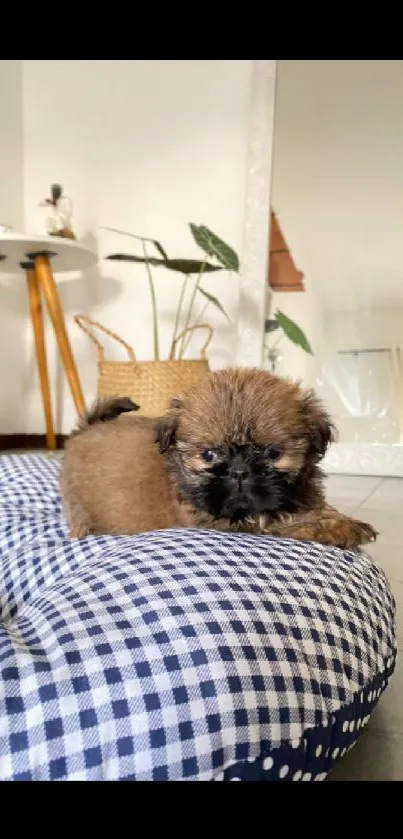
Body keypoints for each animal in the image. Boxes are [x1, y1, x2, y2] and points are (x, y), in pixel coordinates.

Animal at [60, 370, 378, 548]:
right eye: (208, 455)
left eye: (273, 454)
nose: (239, 471)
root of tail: (86, 428)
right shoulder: (228, 522)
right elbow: (282, 521)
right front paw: (338, 529)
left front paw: (340, 519)